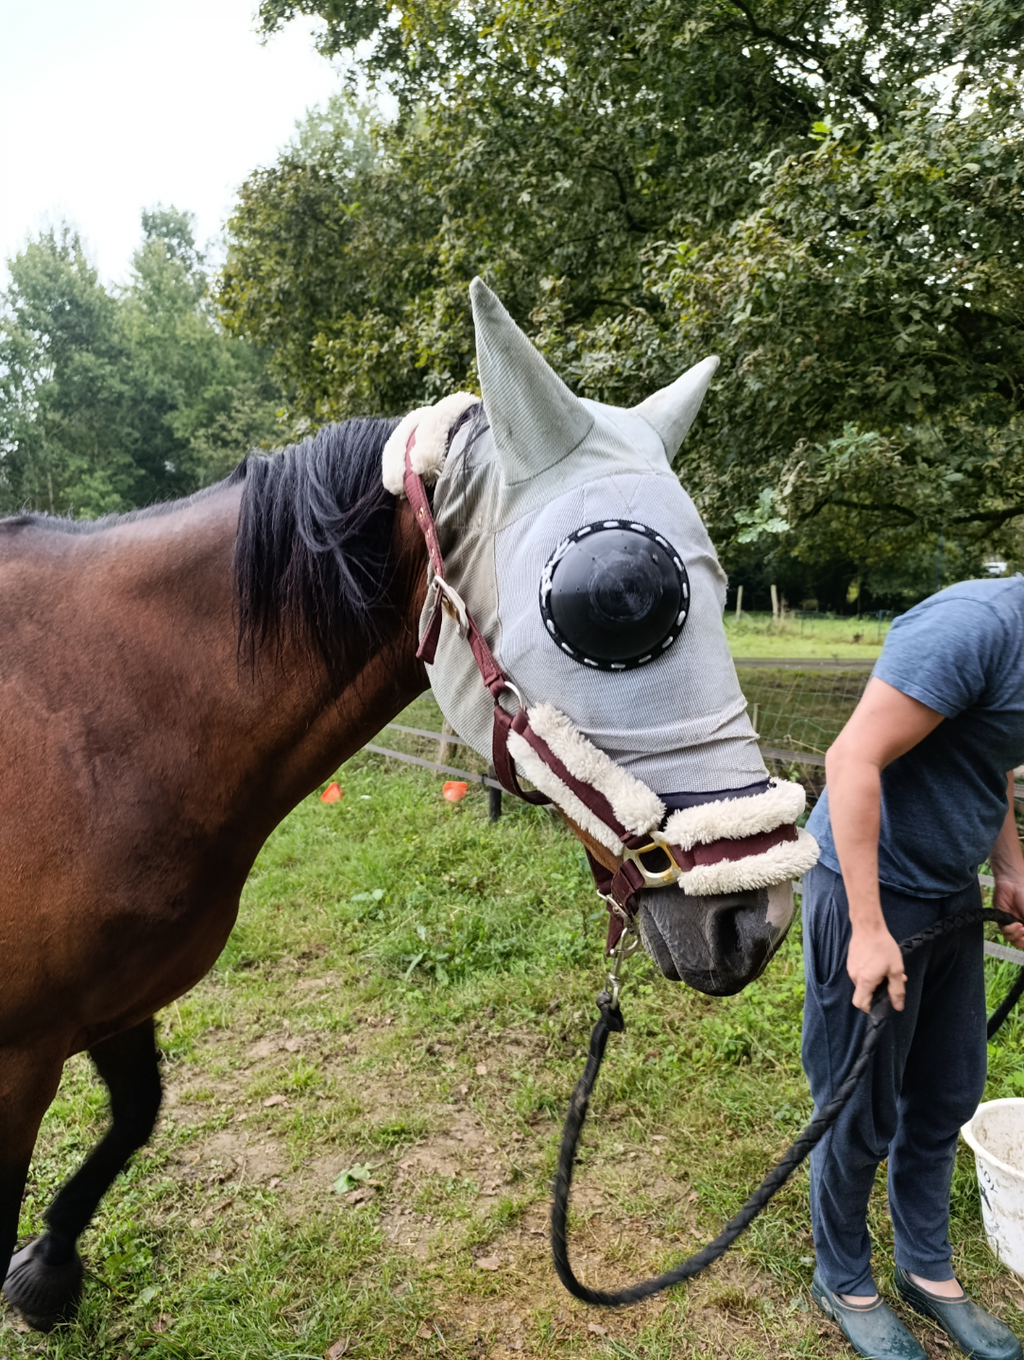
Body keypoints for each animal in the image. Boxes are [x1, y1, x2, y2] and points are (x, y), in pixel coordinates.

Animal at [0, 279, 815, 1332]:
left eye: (719, 587)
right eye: (614, 596)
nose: (754, 921)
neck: (93, 718)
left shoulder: (111, 1001)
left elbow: (136, 1116)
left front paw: (49, 1266)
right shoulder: (18, 1057)